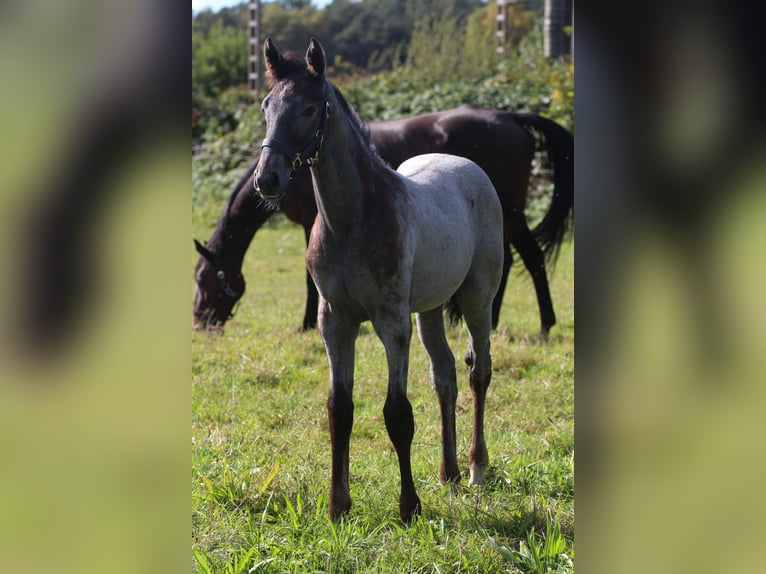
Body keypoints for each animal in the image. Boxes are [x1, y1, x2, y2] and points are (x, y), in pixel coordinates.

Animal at [195, 104, 572, 338]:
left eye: (201, 279)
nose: (199, 322)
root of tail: (511, 117)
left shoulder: (312, 223)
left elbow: (308, 281)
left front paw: (305, 324)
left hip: (511, 213)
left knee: (532, 257)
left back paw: (545, 324)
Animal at [252, 35, 504, 520]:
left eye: (308, 109)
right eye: (266, 106)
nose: (267, 179)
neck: (351, 220)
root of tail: (466, 164)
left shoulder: (391, 321)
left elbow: (397, 412)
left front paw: (409, 507)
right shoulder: (334, 320)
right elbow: (340, 409)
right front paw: (338, 506)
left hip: (478, 297)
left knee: (478, 371)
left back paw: (477, 469)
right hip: (428, 308)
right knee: (444, 375)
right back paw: (449, 473)